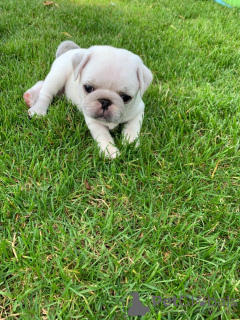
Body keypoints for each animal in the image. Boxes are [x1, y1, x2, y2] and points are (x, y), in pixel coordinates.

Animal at [23, 41, 152, 159]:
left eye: (126, 97)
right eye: (88, 88)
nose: (105, 101)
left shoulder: (138, 111)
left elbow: (133, 127)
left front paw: (131, 143)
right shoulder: (94, 120)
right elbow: (103, 135)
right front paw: (109, 151)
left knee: (42, 84)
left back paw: (29, 97)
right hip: (57, 76)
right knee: (46, 93)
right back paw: (38, 109)